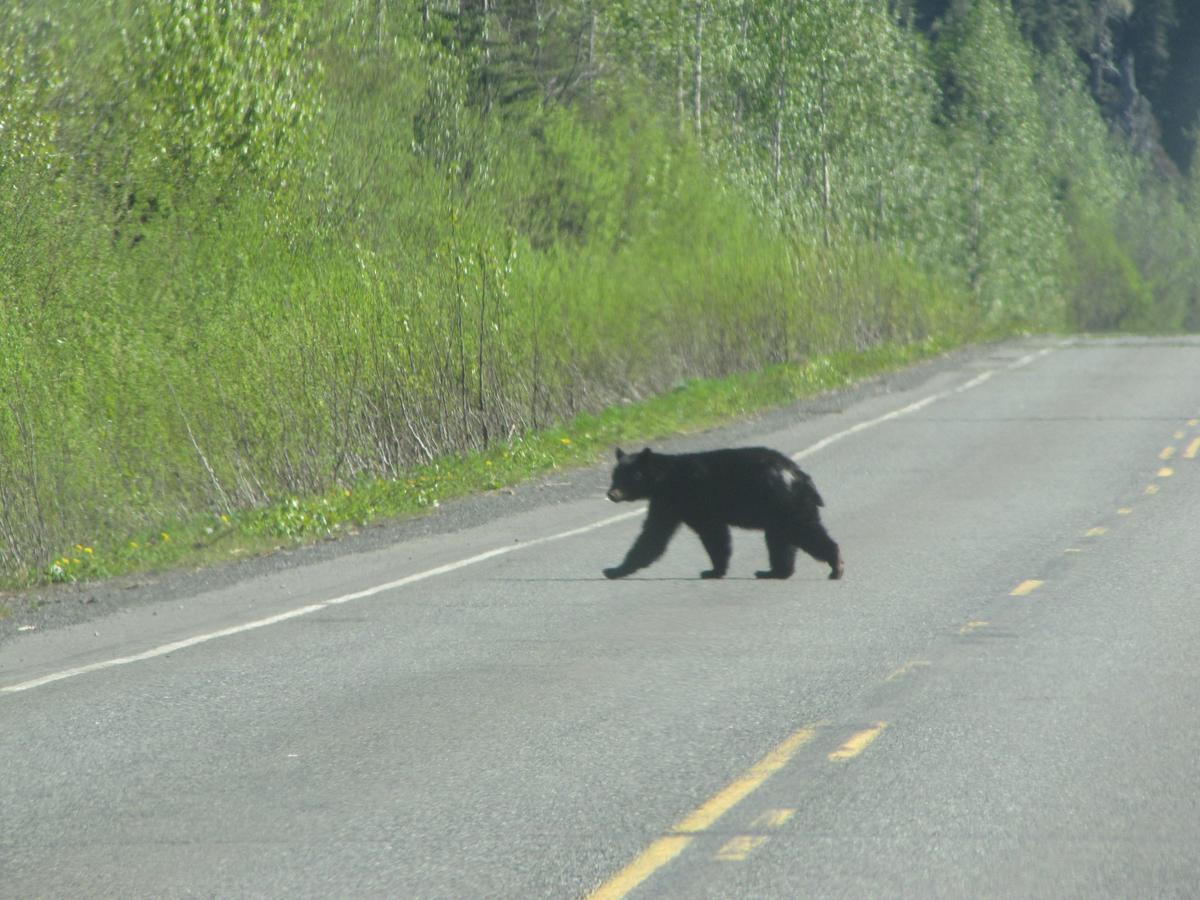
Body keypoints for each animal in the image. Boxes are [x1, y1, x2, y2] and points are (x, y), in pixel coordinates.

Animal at [600, 446, 844, 585]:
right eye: (614, 475)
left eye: (629, 476)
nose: (611, 493)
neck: (664, 478)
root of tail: (800, 475)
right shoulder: (669, 504)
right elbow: (656, 534)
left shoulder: (688, 499)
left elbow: (707, 534)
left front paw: (613, 570)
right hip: (783, 511)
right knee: (781, 540)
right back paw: (774, 571)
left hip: (784, 504)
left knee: (804, 532)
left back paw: (836, 566)